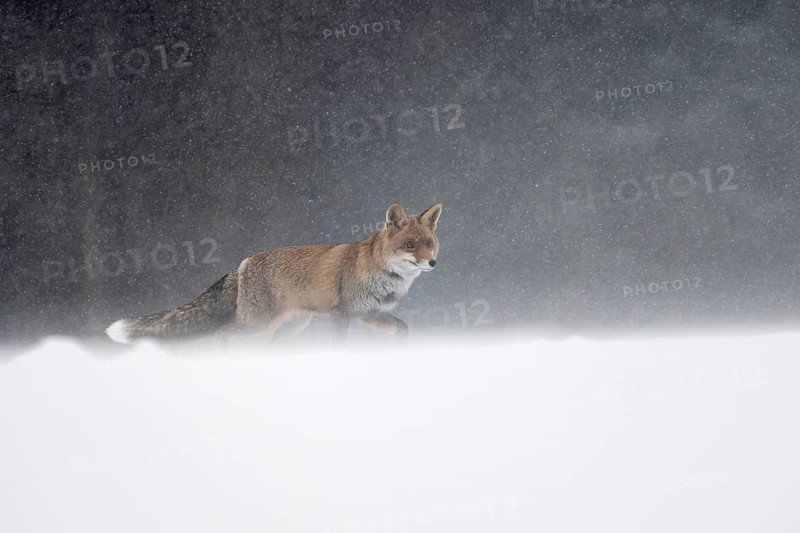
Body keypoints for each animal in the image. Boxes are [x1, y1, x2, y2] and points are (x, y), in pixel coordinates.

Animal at [105, 202, 442, 344]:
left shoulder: (368, 314)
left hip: (287, 327)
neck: (385, 277)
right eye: (410, 245)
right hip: (257, 324)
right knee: (223, 331)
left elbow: (402, 328)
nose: (432, 263)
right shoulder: (342, 314)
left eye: (429, 244)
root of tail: (242, 263)